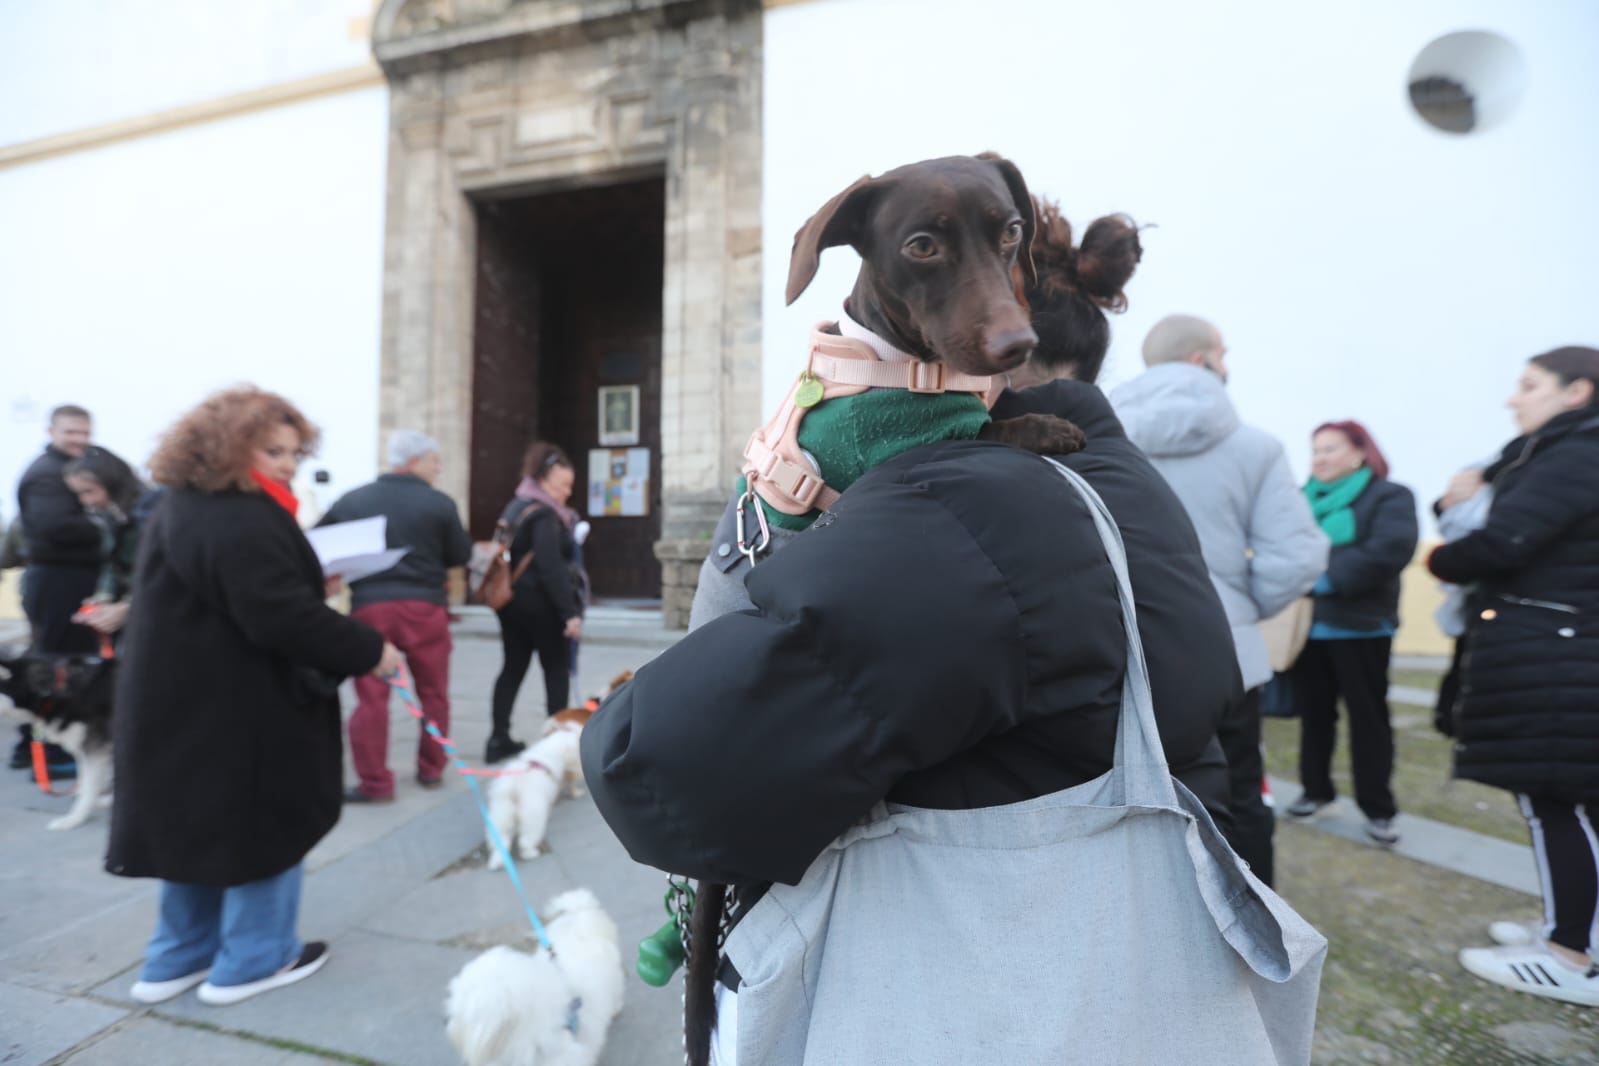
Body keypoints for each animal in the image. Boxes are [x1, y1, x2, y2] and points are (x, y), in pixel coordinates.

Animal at [489, 725, 591, 869]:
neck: (550, 748)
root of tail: (513, 789)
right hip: (532, 817)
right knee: (525, 841)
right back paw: (531, 854)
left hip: (502, 818)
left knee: (501, 843)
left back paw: (496, 862)